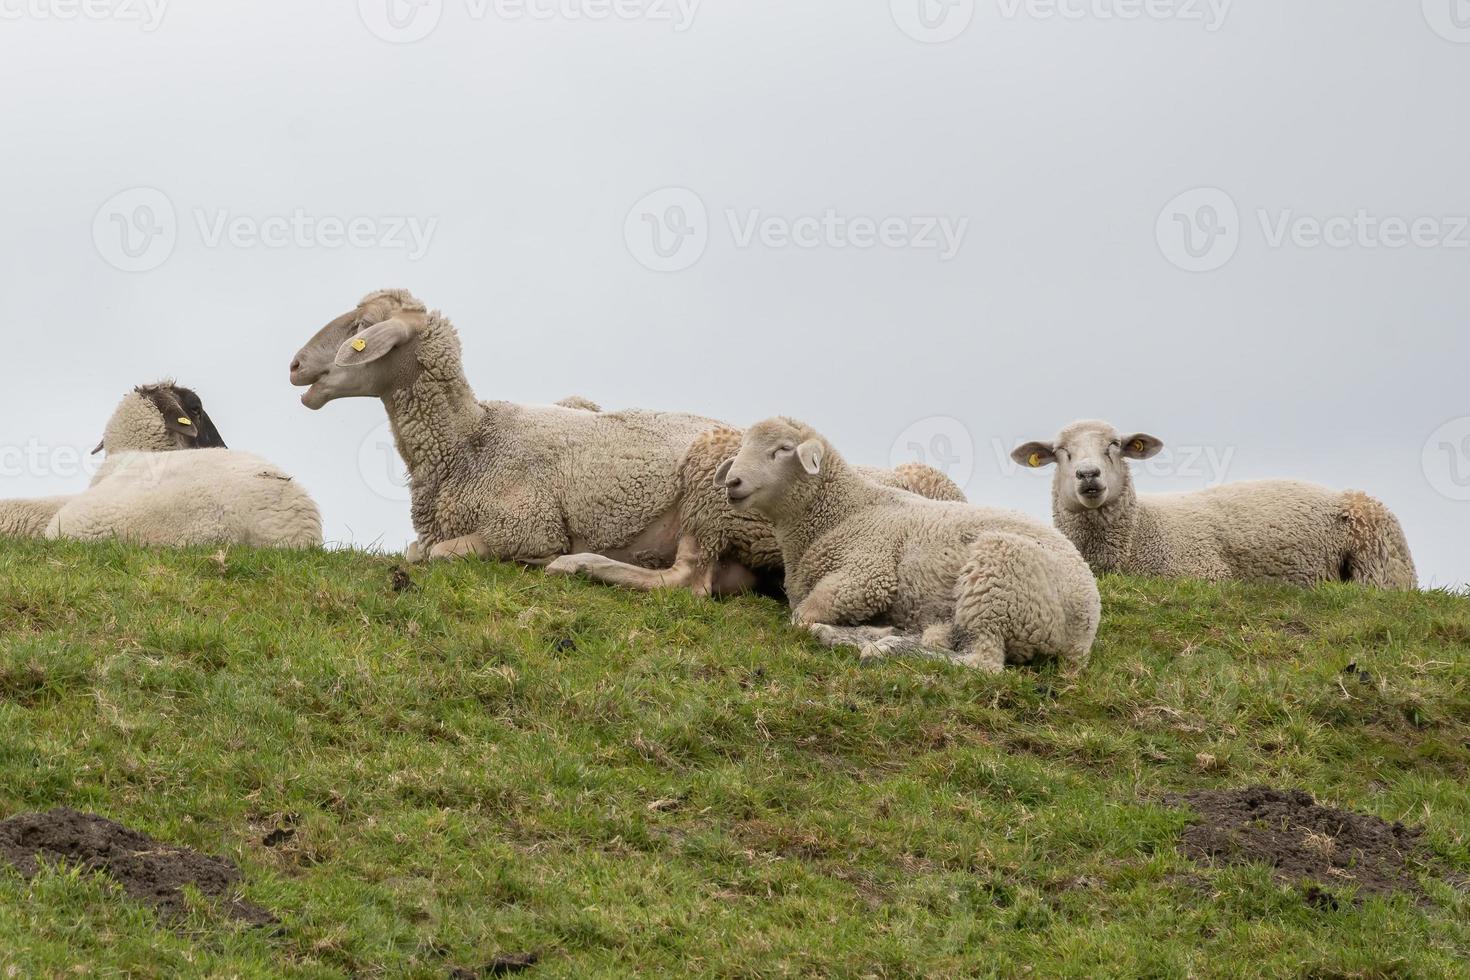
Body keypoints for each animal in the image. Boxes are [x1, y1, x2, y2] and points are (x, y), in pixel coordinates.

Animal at [711, 414, 1105, 675]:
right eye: (743, 448)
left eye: (782, 449)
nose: (733, 482)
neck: (843, 511)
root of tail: (1084, 630)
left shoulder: (866, 577)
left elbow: (800, 618)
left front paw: (847, 633)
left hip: (998, 582)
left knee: (984, 662)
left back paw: (887, 647)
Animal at [1017, 420, 1417, 590]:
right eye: (1061, 452)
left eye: (1114, 445)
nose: (1088, 474)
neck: (1140, 530)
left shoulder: (1204, 573)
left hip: (1380, 562)